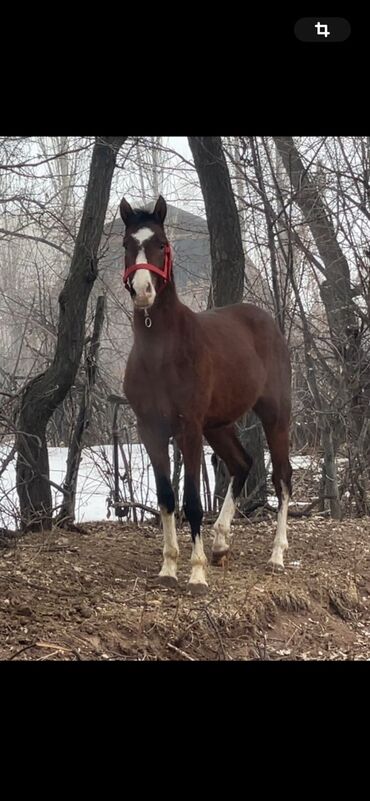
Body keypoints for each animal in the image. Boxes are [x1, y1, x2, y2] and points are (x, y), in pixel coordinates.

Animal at [120, 194, 290, 592]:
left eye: (161, 244)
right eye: (126, 245)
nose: (143, 291)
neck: (161, 351)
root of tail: (267, 322)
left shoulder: (189, 428)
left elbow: (193, 500)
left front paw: (195, 574)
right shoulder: (151, 430)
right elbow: (167, 498)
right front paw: (168, 567)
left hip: (275, 416)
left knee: (282, 479)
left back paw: (276, 555)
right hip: (218, 425)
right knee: (242, 464)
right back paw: (221, 543)